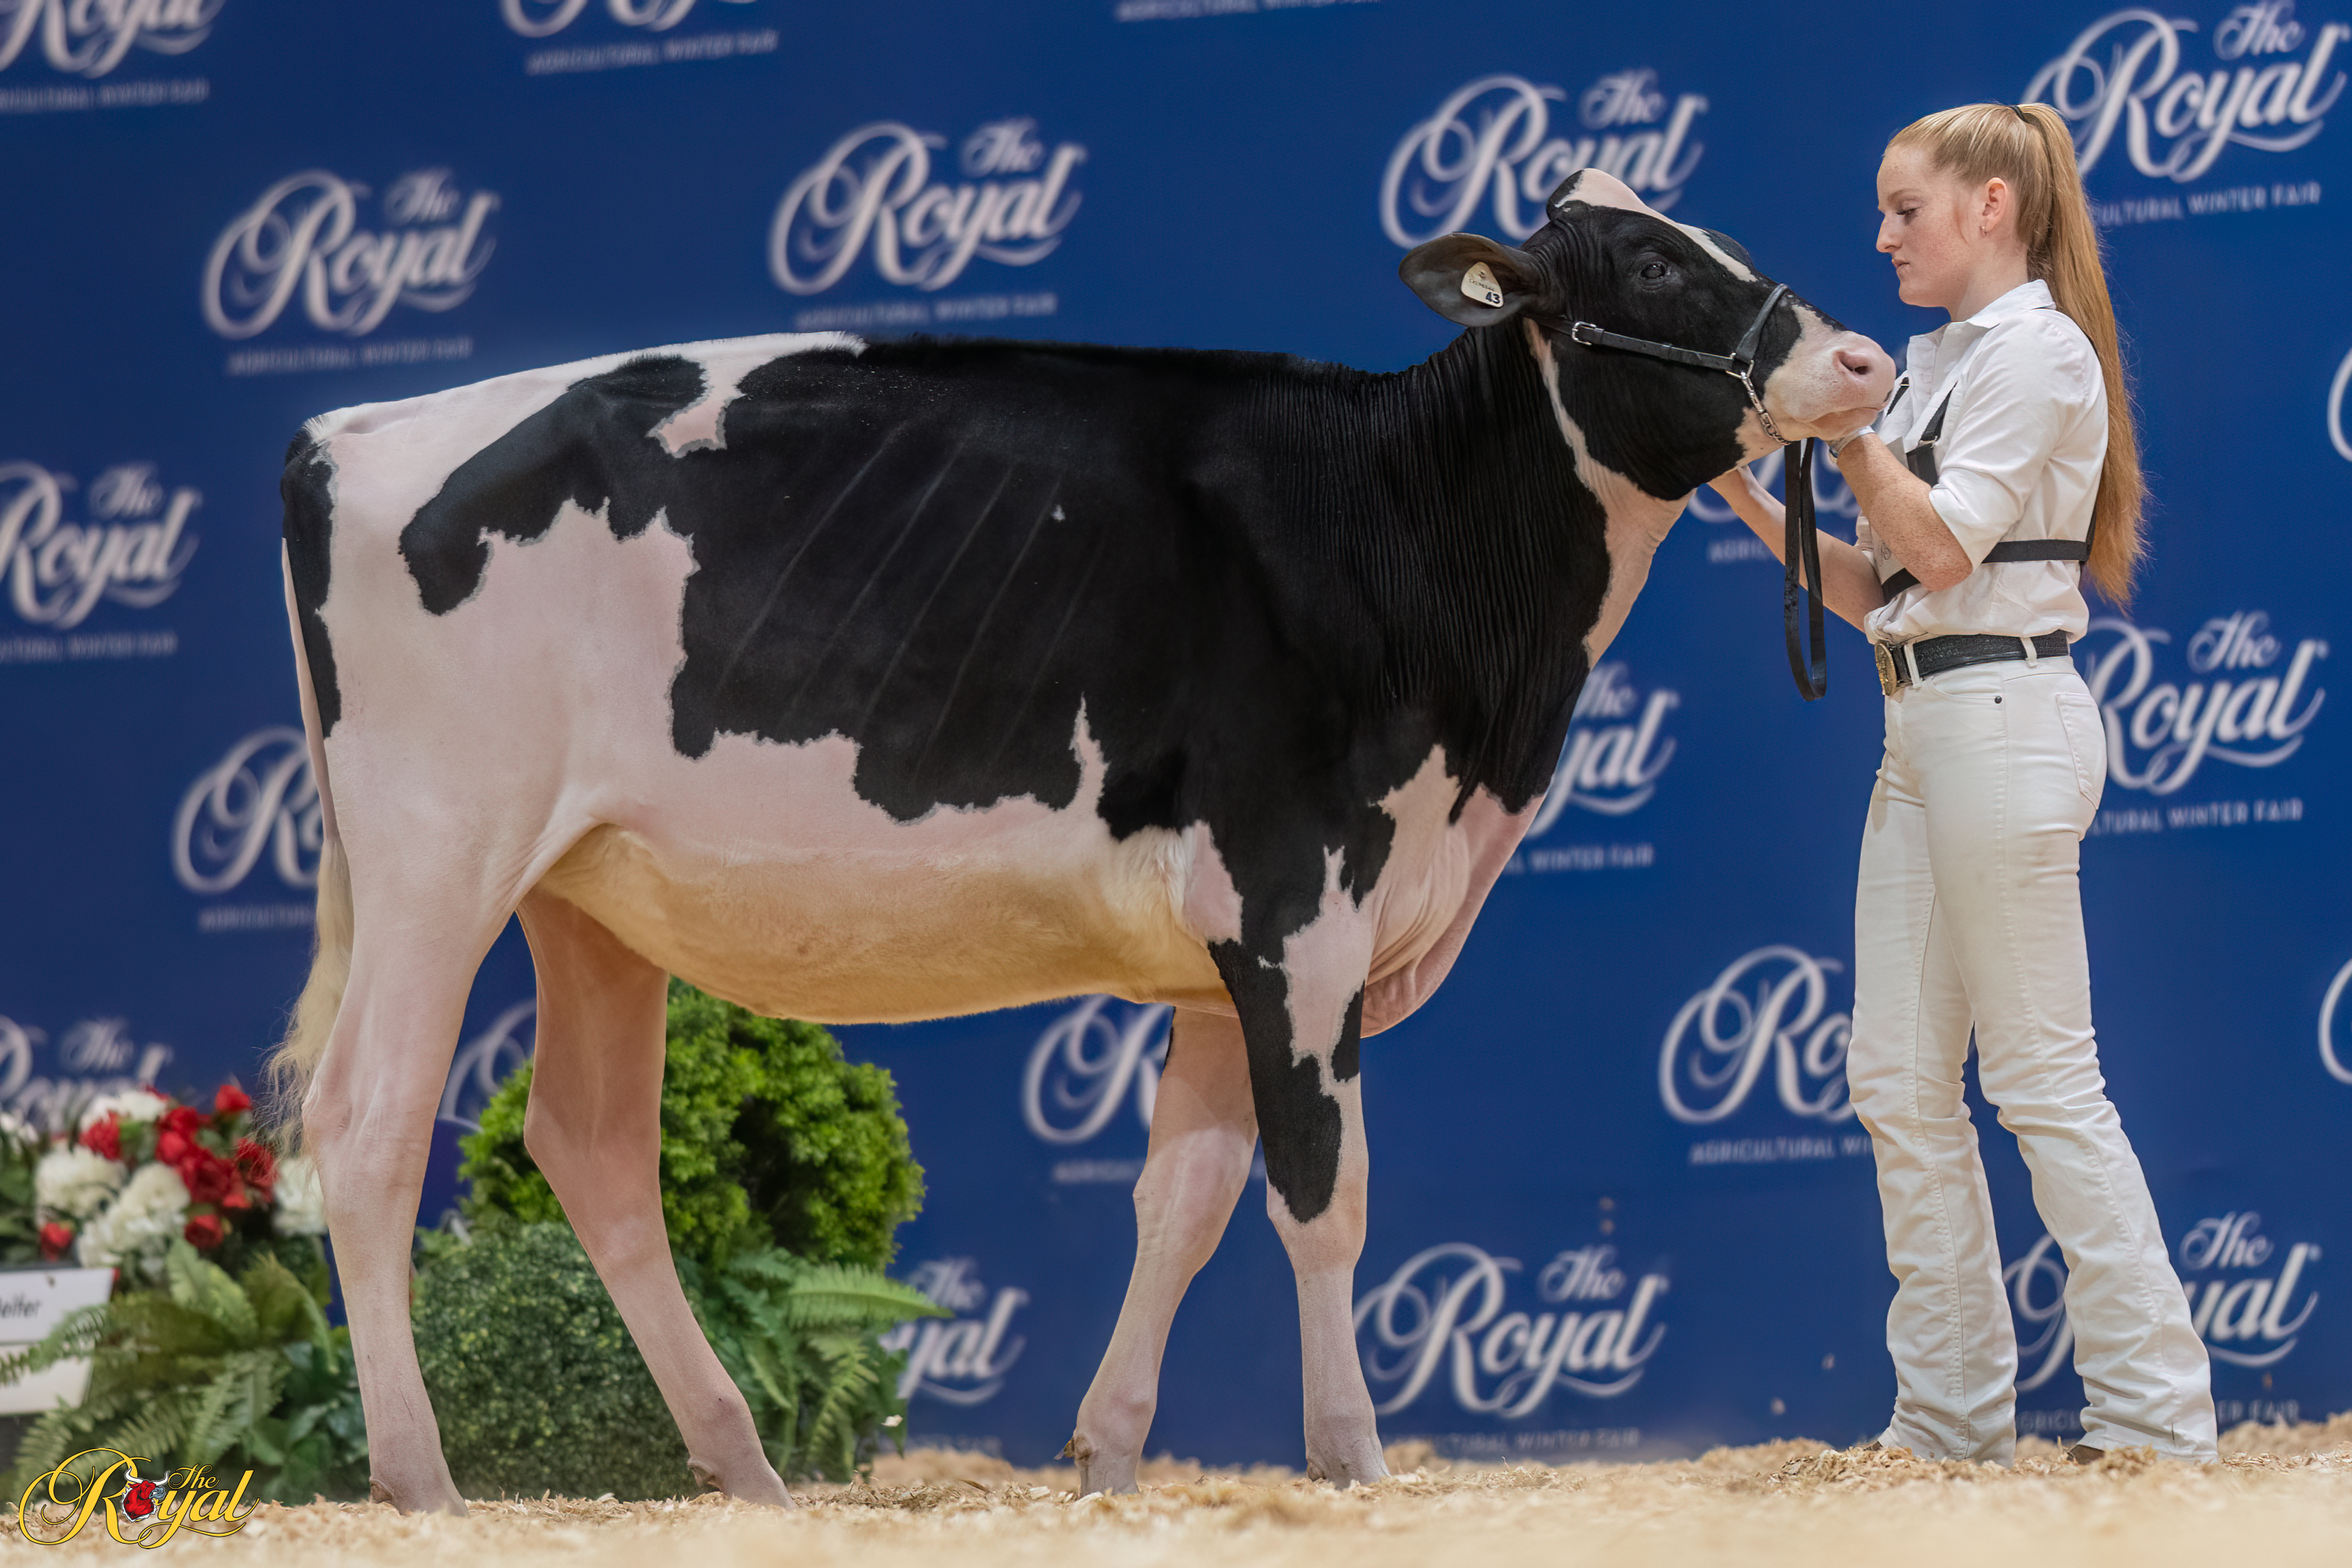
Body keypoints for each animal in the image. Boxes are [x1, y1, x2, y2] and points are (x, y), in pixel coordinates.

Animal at [272, 169, 1893, 1513]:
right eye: (1651, 263)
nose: (1867, 359)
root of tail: (349, 430)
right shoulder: (1301, 905)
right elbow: (1325, 1195)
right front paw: (1354, 1459)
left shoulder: (1226, 957)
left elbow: (1184, 1198)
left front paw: (1108, 1455)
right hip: (440, 853)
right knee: (367, 1123)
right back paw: (422, 1481)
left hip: (585, 892)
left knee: (593, 1149)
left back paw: (741, 1470)